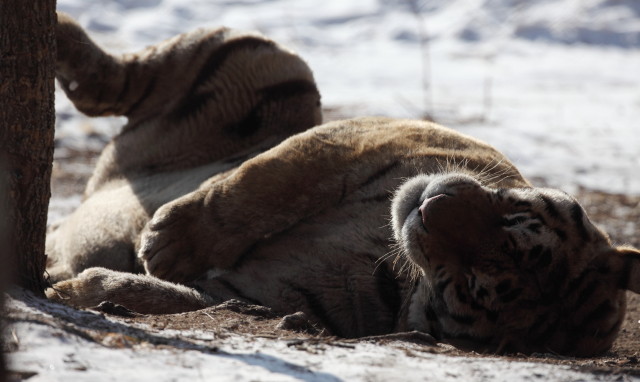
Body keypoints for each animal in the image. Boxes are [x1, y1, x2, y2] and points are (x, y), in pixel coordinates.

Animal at [46, 12, 640, 358]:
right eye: (516, 220)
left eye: (470, 283)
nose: (430, 207)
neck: (399, 266)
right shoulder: (377, 138)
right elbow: (266, 182)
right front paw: (168, 241)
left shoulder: (257, 296)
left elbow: (169, 296)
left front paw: (81, 288)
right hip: (274, 63)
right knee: (113, 79)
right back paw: (60, 30)